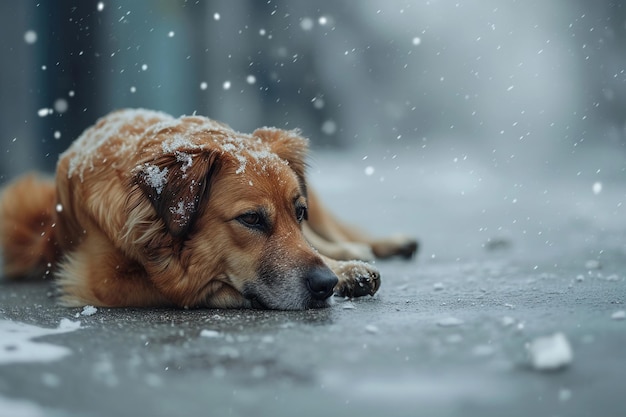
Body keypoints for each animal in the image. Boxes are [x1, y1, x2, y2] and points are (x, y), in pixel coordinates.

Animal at [1, 109, 420, 310]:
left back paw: (371, 250)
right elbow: (180, 289)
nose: (325, 285)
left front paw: (346, 270)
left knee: (335, 236)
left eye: (298, 212)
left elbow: (313, 249)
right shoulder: (100, 278)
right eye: (250, 219)